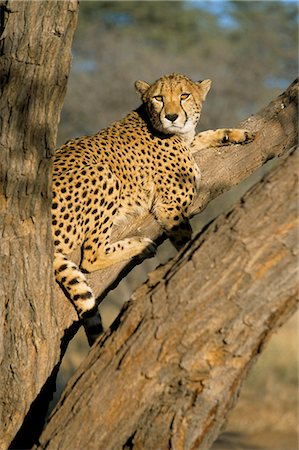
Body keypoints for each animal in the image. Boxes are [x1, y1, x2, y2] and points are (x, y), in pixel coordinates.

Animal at [52, 73, 254, 344]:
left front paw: (236, 134)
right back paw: (141, 245)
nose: (172, 117)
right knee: (91, 256)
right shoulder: (169, 206)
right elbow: (185, 239)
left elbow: (203, 135)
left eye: (184, 95)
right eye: (158, 98)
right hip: (102, 173)